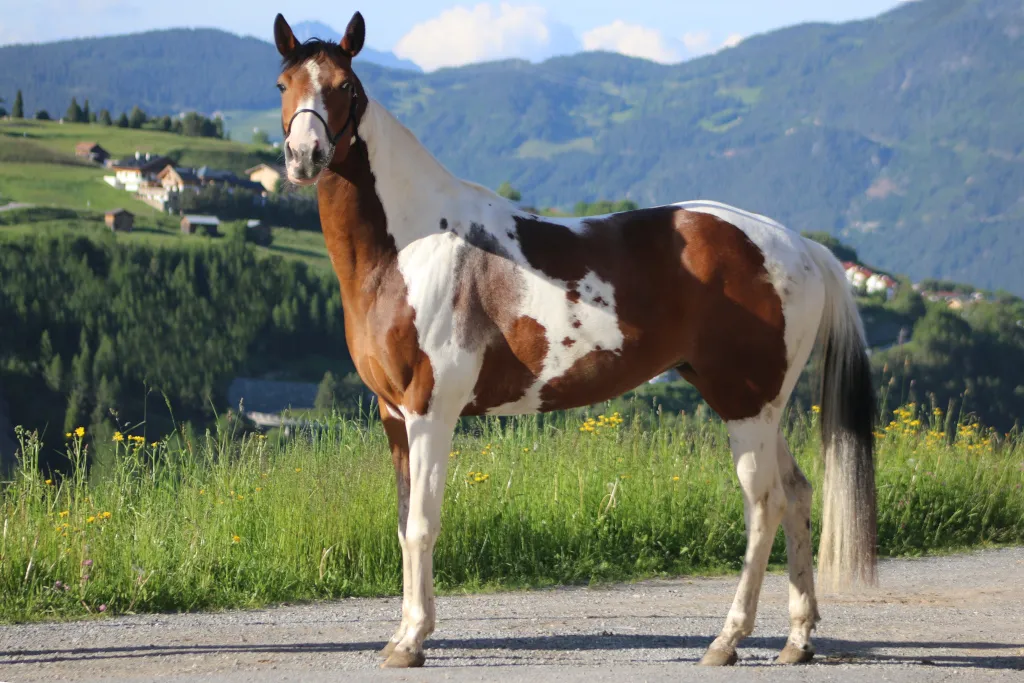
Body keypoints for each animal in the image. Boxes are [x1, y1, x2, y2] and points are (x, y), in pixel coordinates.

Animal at [272, 11, 877, 669]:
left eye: (345, 87)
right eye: (284, 84)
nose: (305, 156)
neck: (410, 248)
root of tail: (802, 247)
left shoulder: (431, 413)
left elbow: (424, 525)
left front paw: (411, 640)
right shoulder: (394, 413)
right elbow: (406, 522)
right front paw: (404, 635)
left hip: (745, 408)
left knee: (764, 505)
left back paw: (727, 639)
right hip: (756, 406)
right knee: (797, 494)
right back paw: (797, 639)